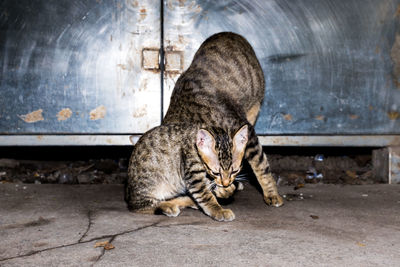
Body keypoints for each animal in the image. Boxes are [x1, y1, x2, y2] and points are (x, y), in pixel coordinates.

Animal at [126, 31, 282, 222]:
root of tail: (229, 33)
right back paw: (170, 205)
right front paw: (221, 196)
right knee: (143, 205)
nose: (226, 182)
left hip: (254, 105)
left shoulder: (245, 131)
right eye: (214, 171)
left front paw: (271, 193)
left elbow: (261, 165)